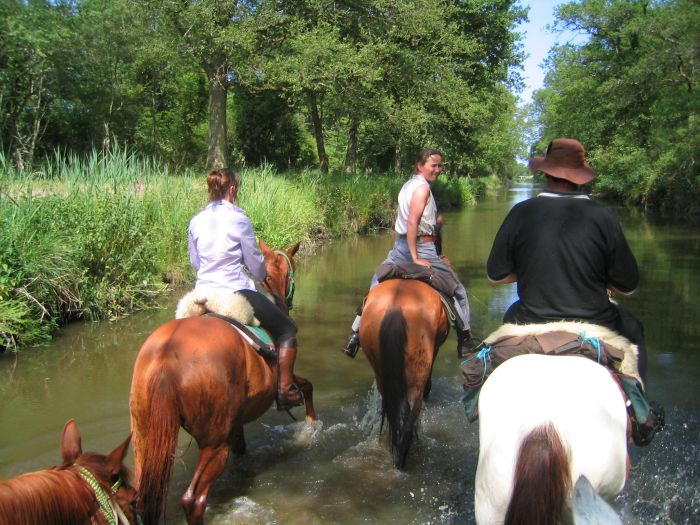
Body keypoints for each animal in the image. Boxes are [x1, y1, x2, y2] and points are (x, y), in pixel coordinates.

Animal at [129, 242, 318, 524]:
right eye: (290, 270)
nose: (288, 302)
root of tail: (165, 355)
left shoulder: (237, 421)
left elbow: (242, 449)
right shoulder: (285, 379)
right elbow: (306, 387)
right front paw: (311, 427)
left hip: (144, 438)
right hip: (215, 443)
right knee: (194, 499)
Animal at [358, 278, 452, 466]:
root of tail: (395, 307)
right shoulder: (435, 350)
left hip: (381, 372)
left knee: (392, 409)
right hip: (417, 372)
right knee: (410, 413)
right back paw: (402, 458)